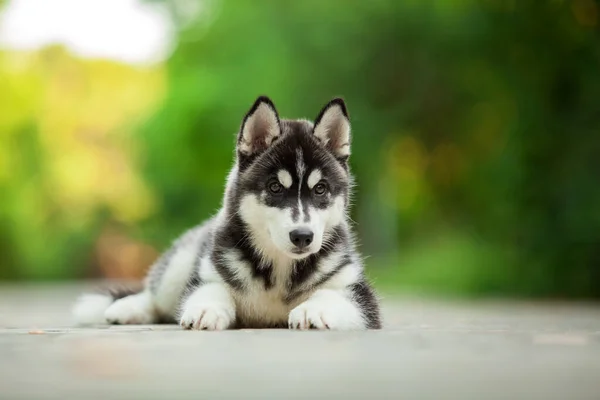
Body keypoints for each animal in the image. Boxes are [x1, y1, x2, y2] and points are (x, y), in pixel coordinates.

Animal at [72, 95, 382, 330]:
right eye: (274, 187)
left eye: (320, 189)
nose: (303, 236)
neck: (280, 269)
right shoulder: (209, 271)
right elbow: (211, 289)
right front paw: (207, 309)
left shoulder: (358, 293)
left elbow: (333, 296)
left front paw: (313, 310)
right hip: (183, 260)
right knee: (156, 296)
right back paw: (128, 308)